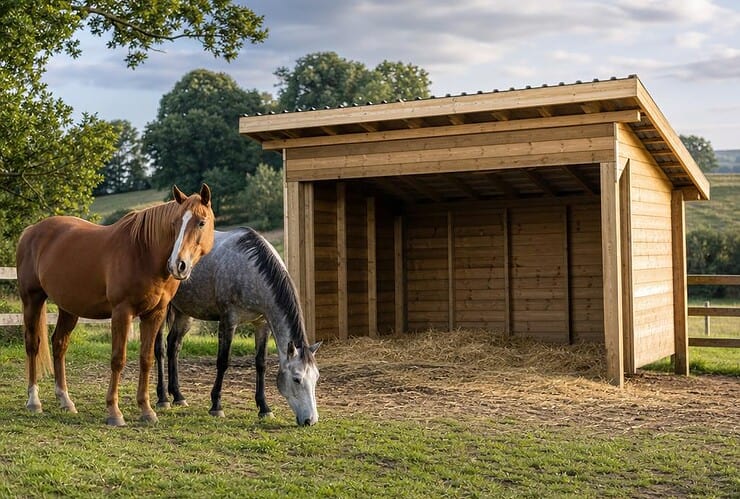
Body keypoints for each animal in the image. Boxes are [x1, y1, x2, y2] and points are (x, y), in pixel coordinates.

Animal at [16, 184, 215, 426]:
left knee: (59, 344)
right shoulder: (122, 312)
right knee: (32, 345)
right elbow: (118, 359)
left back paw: (66, 401)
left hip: (68, 308)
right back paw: (34, 401)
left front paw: (147, 410)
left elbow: (146, 359)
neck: (143, 252)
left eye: (201, 222)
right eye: (175, 223)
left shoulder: (154, 314)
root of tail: (31, 230)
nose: (179, 265)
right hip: (32, 299)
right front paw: (114, 412)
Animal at [153, 227, 321, 426]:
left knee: (174, 346)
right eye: (297, 379)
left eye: (316, 378)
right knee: (160, 349)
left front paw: (264, 408)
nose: (311, 420)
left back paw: (178, 396)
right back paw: (163, 398)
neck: (251, 269)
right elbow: (223, 361)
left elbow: (261, 364)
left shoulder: (262, 324)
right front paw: (216, 406)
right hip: (162, 309)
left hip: (184, 312)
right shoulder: (228, 321)